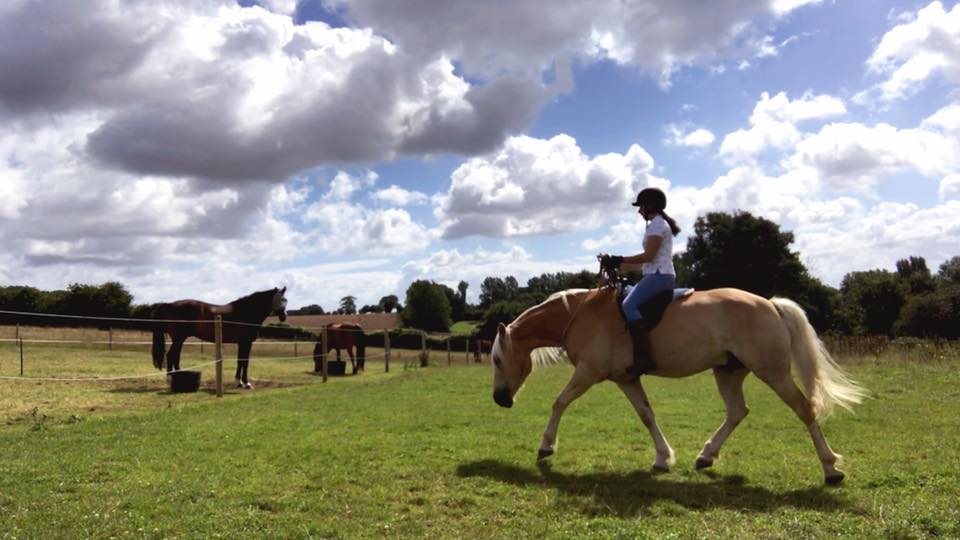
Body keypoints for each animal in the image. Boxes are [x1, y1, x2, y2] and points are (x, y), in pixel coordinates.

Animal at [152, 286, 286, 388]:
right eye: (280, 300)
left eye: (285, 300)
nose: (284, 317)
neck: (246, 312)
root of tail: (169, 305)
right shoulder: (246, 343)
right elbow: (245, 362)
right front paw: (246, 383)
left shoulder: (241, 343)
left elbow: (240, 361)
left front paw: (239, 382)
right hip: (179, 338)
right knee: (171, 356)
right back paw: (170, 379)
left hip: (180, 339)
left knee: (175, 356)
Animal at [492, 286, 868, 486]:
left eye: (496, 359)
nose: (499, 399)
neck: (581, 314)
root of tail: (770, 304)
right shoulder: (626, 378)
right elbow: (647, 415)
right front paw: (662, 458)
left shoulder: (589, 372)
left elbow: (559, 402)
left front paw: (546, 447)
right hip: (728, 372)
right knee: (737, 411)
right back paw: (706, 456)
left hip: (772, 373)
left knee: (805, 409)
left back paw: (830, 468)